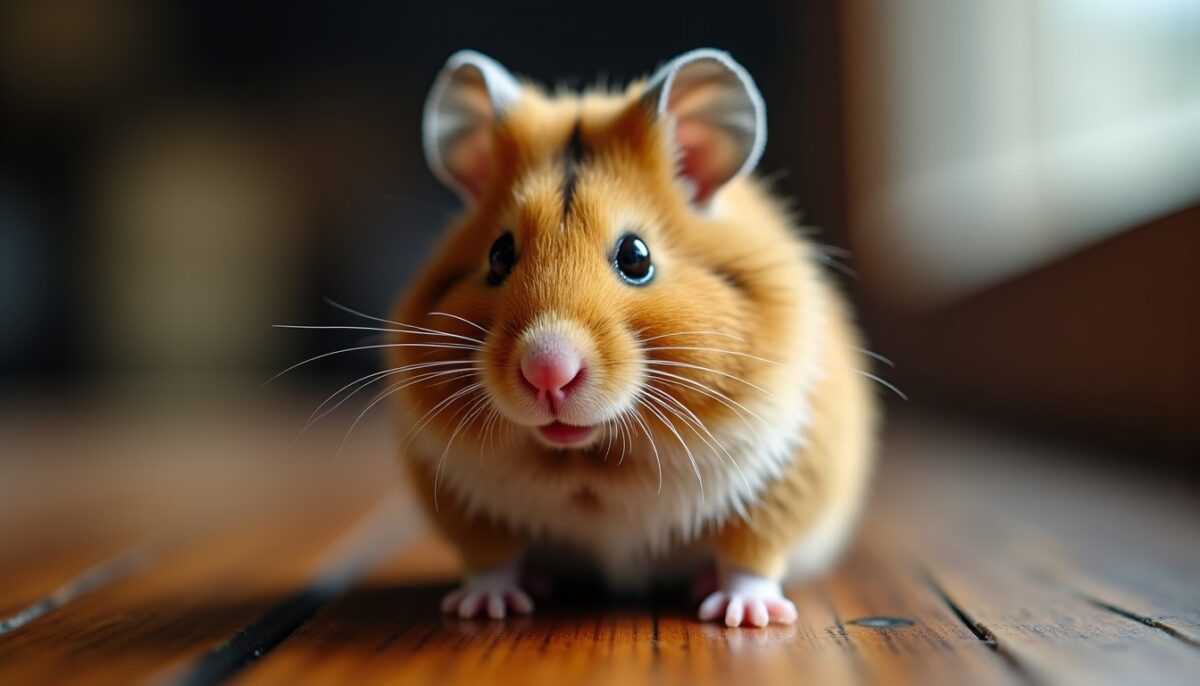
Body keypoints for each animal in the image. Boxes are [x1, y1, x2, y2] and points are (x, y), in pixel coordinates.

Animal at [386, 49, 877, 628]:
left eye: (636, 257)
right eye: (499, 255)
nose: (547, 372)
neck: (591, 458)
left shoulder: (781, 477)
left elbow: (750, 554)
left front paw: (742, 616)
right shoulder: (464, 500)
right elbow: (491, 558)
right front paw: (483, 611)